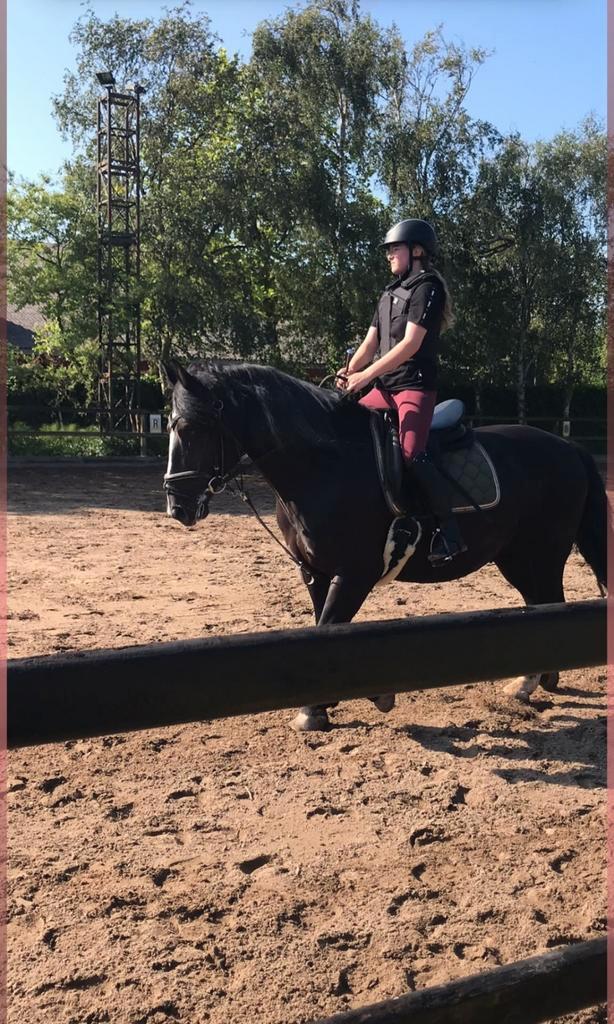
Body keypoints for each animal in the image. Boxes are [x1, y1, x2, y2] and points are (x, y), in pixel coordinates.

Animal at [162, 358, 607, 732]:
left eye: (192, 429)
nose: (177, 506)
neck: (323, 468)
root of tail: (568, 447)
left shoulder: (353, 575)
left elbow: (331, 626)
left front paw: (320, 709)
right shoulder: (315, 572)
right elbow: (323, 634)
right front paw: (331, 703)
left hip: (542, 552)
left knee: (550, 604)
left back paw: (536, 680)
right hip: (517, 557)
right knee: (540, 604)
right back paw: (535, 681)